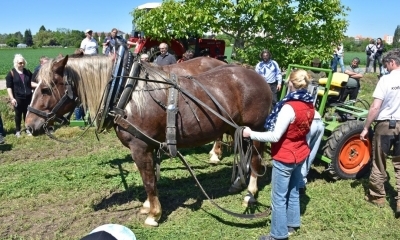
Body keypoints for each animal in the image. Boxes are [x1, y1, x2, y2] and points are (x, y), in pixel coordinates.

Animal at [25, 56, 274, 227]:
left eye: (45, 89)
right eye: (34, 86)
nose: (29, 126)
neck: (125, 95)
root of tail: (254, 74)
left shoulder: (140, 147)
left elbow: (148, 181)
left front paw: (154, 214)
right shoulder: (150, 146)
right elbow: (151, 177)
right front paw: (148, 207)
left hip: (255, 129)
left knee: (255, 160)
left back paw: (250, 193)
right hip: (237, 129)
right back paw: (238, 183)